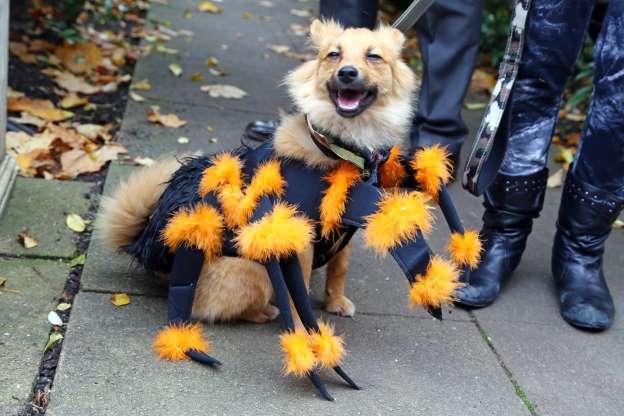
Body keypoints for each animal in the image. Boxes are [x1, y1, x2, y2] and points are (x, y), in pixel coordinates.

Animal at [97, 19, 414, 324]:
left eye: (374, 56)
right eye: (333, 55)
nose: (347, 73)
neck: (338, 146)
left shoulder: (344, 230)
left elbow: (339, 271)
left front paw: (335, 302)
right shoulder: (299, 240)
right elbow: (297, 292)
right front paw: (306, 327)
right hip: (253, 269)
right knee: (212, 309)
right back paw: (265, 312)